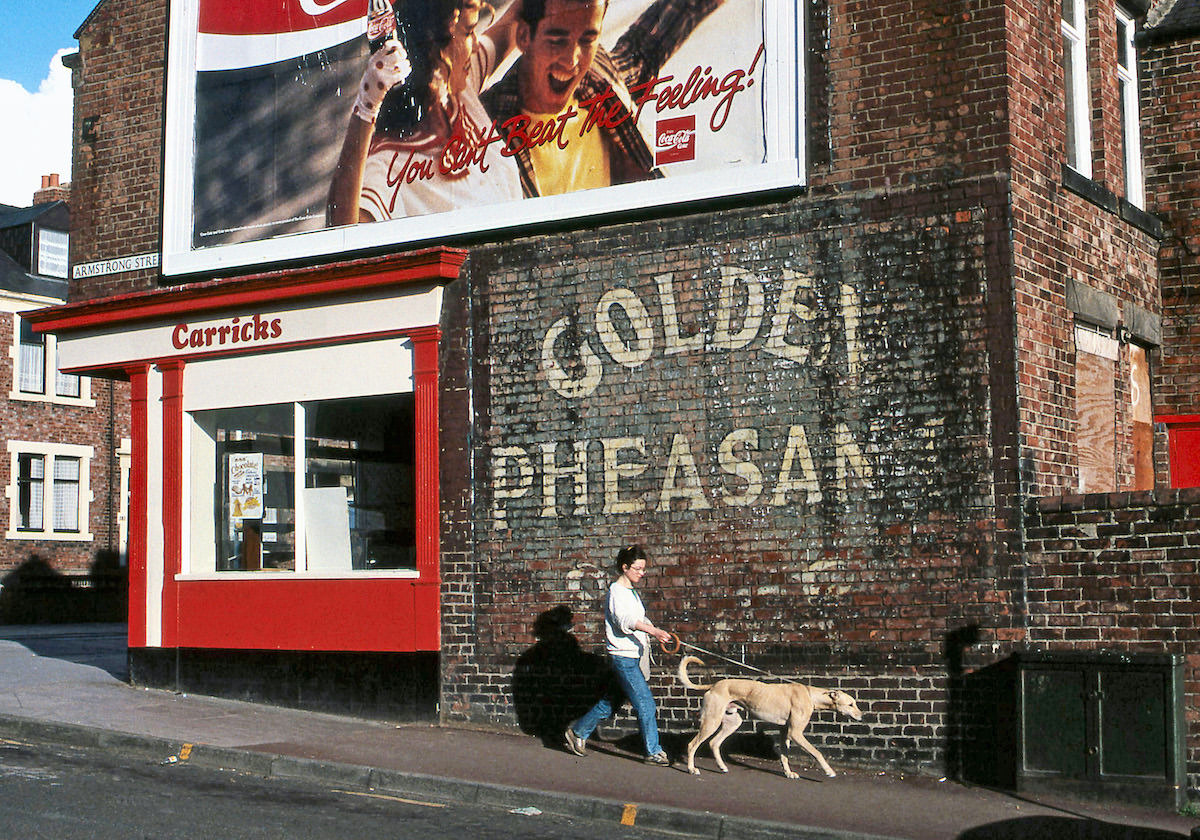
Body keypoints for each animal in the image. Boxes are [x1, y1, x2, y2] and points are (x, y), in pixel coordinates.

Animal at [676, 657, 864, 782]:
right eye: (851, 704)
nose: (862, 716)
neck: (810, 695)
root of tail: (714, 686)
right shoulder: (795, 733)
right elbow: (817, 752)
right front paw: (828, 771)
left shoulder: (785, 731)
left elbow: (785, 755)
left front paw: (788, 773)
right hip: (711, 721)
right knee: (692, 745)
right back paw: (692, 769)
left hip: (732, 722)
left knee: (714, 743)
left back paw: (722, 766)